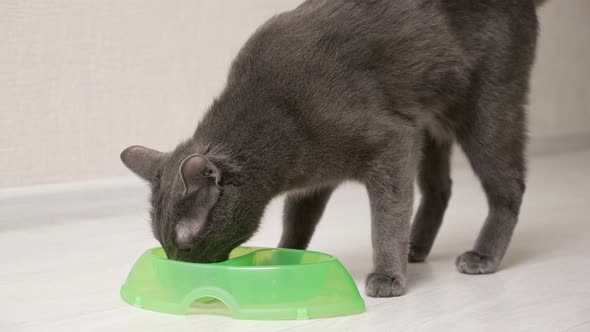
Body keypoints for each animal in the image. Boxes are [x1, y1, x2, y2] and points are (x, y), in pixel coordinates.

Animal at [120, 0, 544, 296]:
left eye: (186, 244)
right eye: (162, 242)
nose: (176, 269)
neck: (277, 120)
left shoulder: (392, 141)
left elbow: (387, 217)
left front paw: (387, 275)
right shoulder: (314, 180)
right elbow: (298, 219)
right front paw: (284, 258)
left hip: (487, 103)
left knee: (509, 186)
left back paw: (482, 255)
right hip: (431, 122)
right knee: (440, 189)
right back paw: (417, 246)